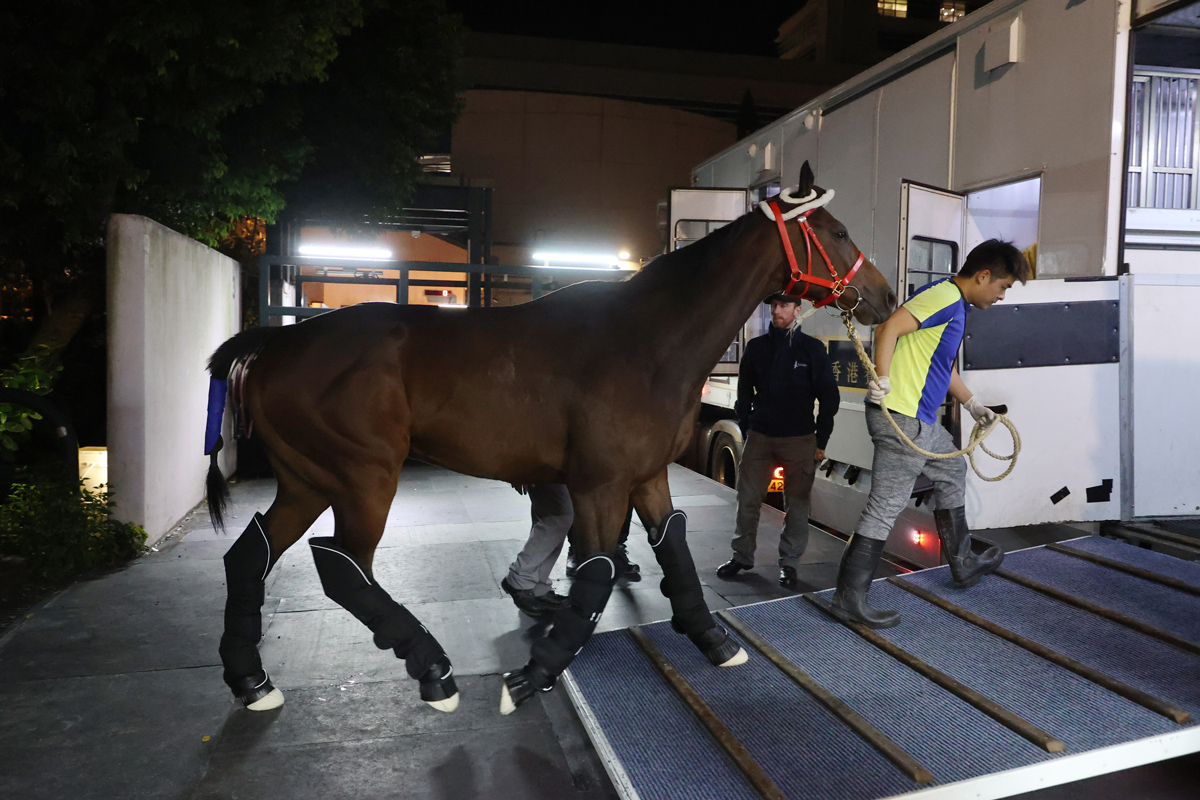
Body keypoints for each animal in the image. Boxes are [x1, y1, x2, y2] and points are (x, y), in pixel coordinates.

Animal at [206, 159, 897, 714]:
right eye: (837, 231)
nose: (885, 296)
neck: (648, 340)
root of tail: (278, 341)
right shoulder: (598, 485)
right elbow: (594, 574)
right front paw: (533, 675)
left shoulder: (645, 476)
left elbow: (673, 550)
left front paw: (712, 639)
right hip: (362, 479)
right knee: (343, 569)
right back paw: (432, 669)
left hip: (309, 479)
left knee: (250, 555)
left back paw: (251, 681)